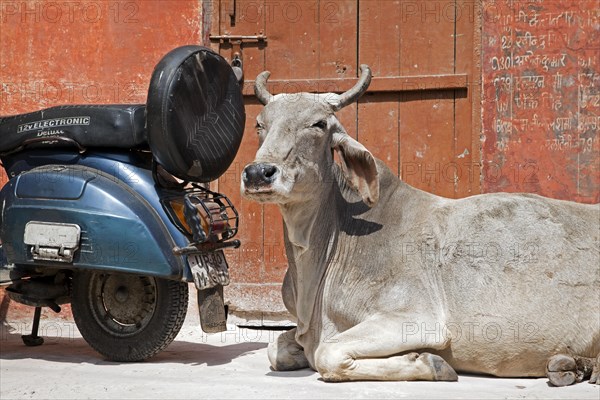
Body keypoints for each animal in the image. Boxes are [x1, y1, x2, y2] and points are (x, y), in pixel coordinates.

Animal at [239, 65, 600, 384]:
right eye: (259, 124)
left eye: (317, 124)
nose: (258, 173)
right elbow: (276, 350)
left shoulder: (415, 318)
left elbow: (327, 353)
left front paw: (431, 363)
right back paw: (570, 366)